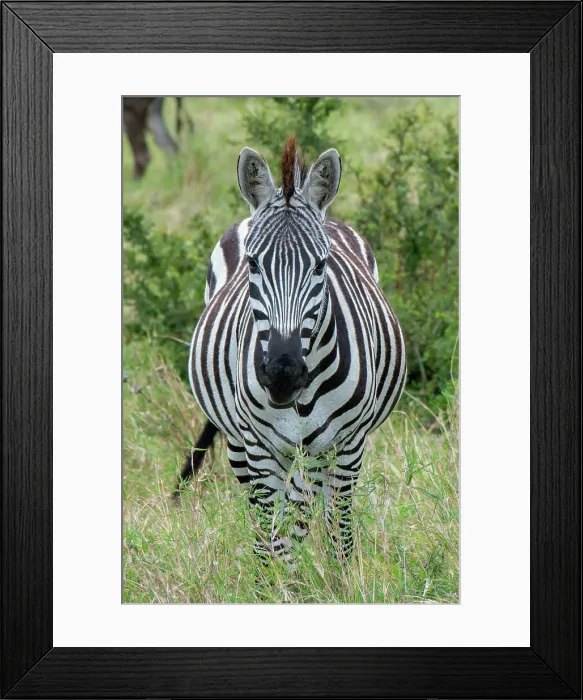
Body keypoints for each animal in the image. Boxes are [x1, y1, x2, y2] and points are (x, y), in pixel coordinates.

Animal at [179, 136, 406, 562]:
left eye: (320, 266)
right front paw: (276, 578)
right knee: (265, 517)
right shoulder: (259, 446)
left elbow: (336, 530)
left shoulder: (346, 444)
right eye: (253, 264)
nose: (282, 375)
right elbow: (273, 534)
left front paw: (338, 577)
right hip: (239, 444)